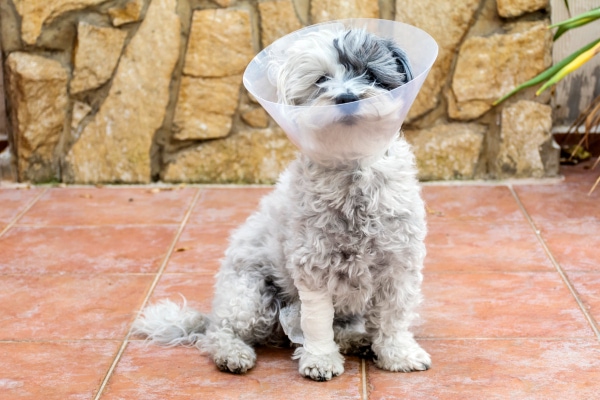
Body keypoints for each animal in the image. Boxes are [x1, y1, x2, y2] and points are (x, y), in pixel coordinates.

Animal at [134, 27, 428, 382]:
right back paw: (233, 355)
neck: (352, 167)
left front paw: (399, 353)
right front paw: (320, 360)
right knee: (219, 332)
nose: (346, 99)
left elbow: (392, 317)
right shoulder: (314, 267)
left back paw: (357, 340)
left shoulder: (399, 265)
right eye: (321, 80)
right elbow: (317, 324)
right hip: (251, 296)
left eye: (370, 74)